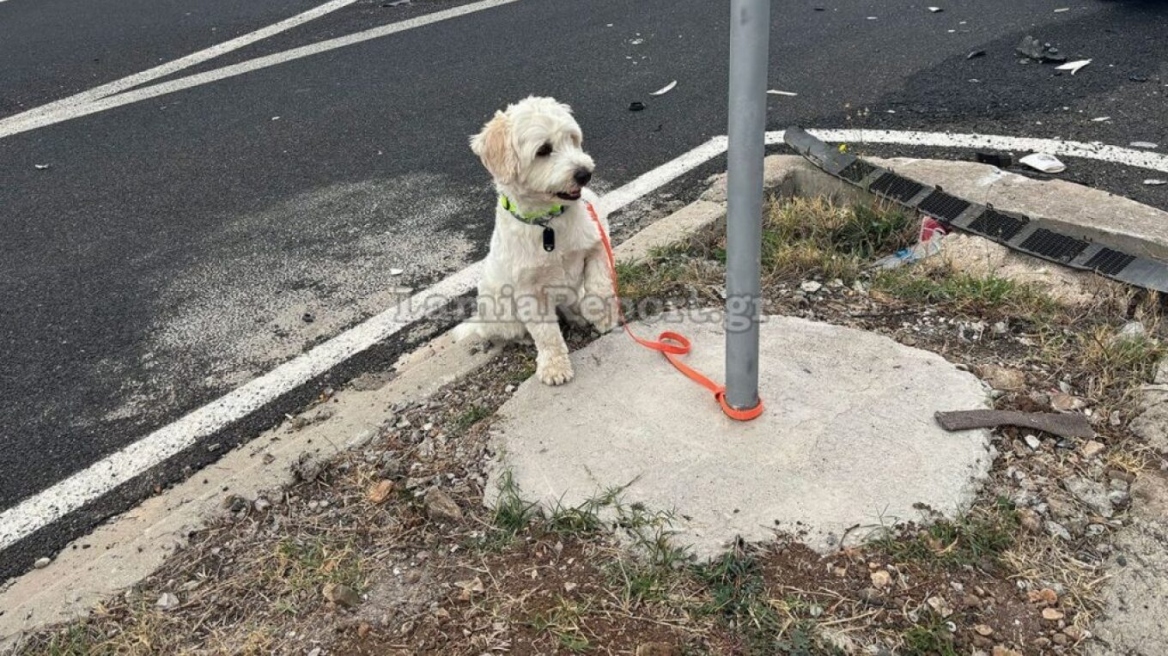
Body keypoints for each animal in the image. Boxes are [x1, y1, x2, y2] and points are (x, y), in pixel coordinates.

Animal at [450, 96, 621, 382]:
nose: (584, 173)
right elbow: (546, 333)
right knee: (505, 333)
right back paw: (524, 339)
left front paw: (602, 316)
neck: (548, 222)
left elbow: (599, 286)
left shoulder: (597, 242)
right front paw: (554, 366)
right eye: (543, 150)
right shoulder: (529, 291)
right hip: (502, 313)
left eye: (572, 139)